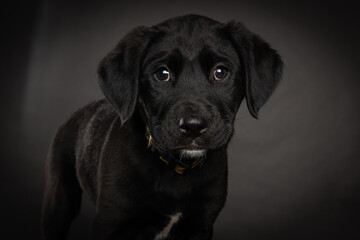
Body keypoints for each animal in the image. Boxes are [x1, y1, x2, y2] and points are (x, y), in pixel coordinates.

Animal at [40, 14, 282, 239]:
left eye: (221, 72)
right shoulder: (108, 223)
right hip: (59, 200)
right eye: (162, 74)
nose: (193, 126)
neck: (178, 169)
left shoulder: (201, 225)